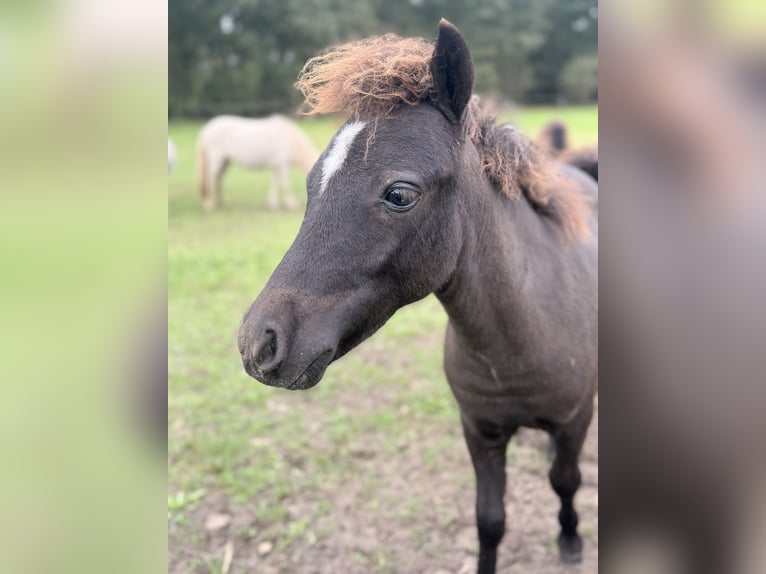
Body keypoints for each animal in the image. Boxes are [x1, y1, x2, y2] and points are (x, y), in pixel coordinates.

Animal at [237, 20, 597, 574]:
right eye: (312, 184)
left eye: (399, 194)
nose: (259, 344)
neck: (518, 340)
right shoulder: (480, 431)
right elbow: (490, 520)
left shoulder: (573, 421)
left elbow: (566, 481)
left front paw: (571, 541)